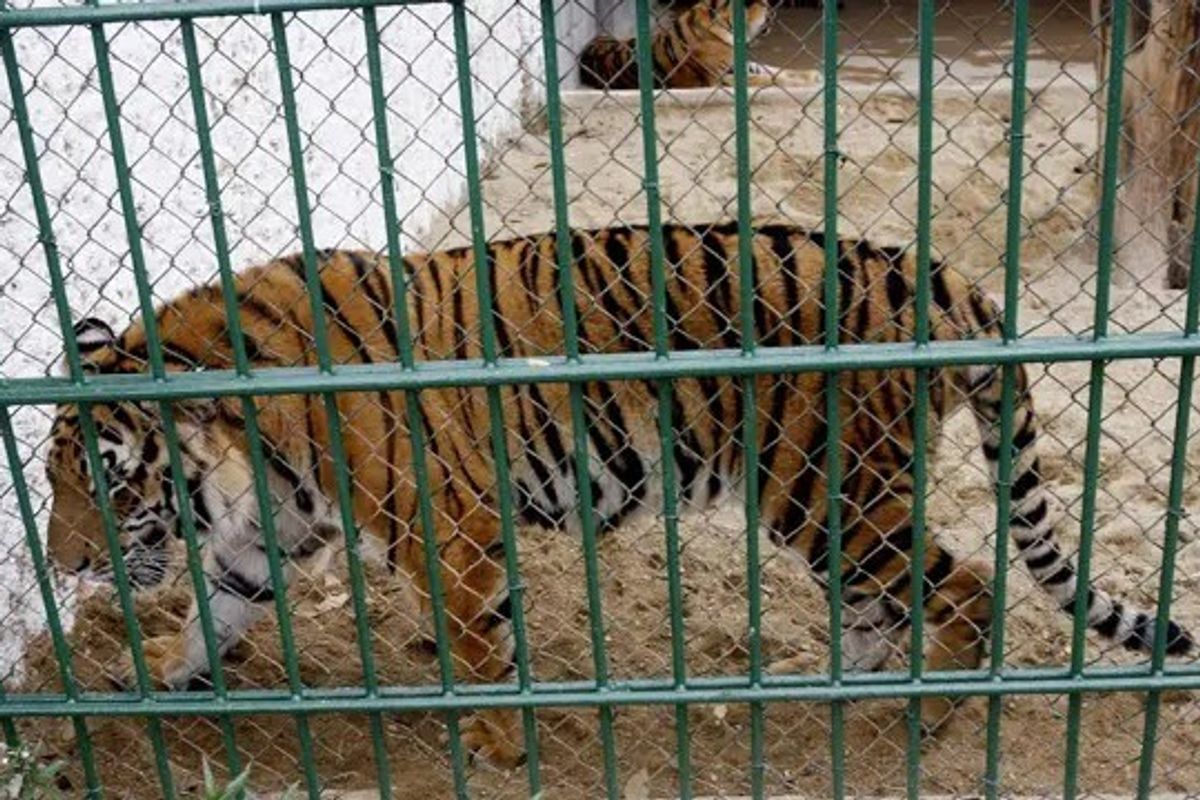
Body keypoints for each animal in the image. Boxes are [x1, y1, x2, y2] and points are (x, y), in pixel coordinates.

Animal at [45, 222, 1194, 769]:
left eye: (105, 480)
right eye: (51, 483)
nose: (65, 563)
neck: (248, 447)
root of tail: (939, 276)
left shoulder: (447, 532)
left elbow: (479, 648)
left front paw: (499, 748)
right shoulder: (271, 533)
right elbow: (214, 610)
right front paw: (152, 687)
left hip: (831, 495)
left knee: (967, 590)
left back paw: (927, 715)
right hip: (832, 508)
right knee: (888, 604)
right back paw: (835, 684)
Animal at [579, 0, 805, 90]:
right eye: (766, 6)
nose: (774, 14)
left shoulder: (737, 65)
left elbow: (775, 71)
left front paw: (808, 75)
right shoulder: (719, 80)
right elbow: (766, 80)